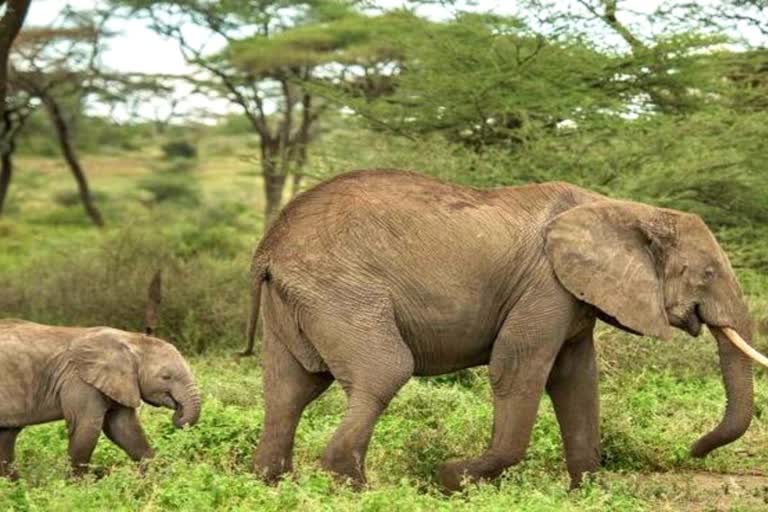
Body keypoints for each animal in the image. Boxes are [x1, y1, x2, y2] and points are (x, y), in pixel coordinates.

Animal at [0, 318, 201, 478]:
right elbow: (86, 428)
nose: (178, 414)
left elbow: (124, 428)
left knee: (7, 436)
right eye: (166, 377)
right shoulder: (80, 380)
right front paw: (80, 488)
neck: (131, 340)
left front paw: (157, 479)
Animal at [243, 170, 764, 490]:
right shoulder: (544, 287)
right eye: (708, 274)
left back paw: (271, 484)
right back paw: (352, 487)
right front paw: (451, 477)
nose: (693, 450)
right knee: (384, 372)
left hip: (298, 301)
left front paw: (590, 492)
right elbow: (518, 371)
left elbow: (577, 382)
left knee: (289, 389)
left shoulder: (574, 298)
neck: (623, 209)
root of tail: (268, 248)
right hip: (339, 292)